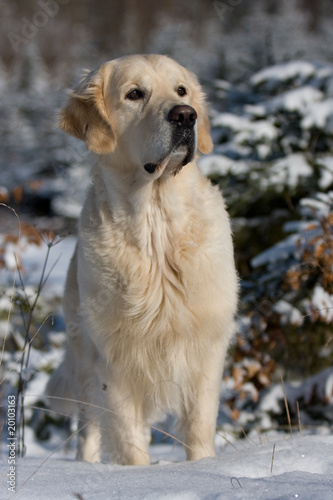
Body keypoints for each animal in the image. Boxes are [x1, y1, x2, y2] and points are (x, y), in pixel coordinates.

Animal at [45, 53, 237, 464]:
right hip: (84, 358)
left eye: (181, 90)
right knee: (88, 430)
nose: (185, 116)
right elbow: (129, 441)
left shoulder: (206, 348)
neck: (156, 226)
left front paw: (203, 468)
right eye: (135, 94)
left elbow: (199, 428)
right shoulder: (115, 360)